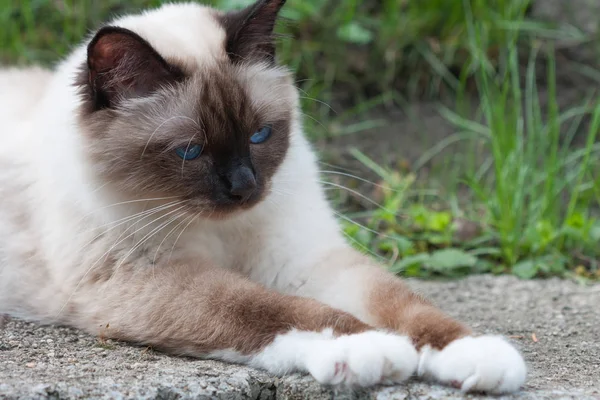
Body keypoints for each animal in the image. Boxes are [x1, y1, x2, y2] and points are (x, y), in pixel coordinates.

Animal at [0, 0, 524, 394]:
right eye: (190, 151)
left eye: (260, 135)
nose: (244, 188)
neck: (223, 232)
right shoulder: (147, 276)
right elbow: (270, 310)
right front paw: (370, 349)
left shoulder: (303, 258)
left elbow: (407, 305)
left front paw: (474, 354)